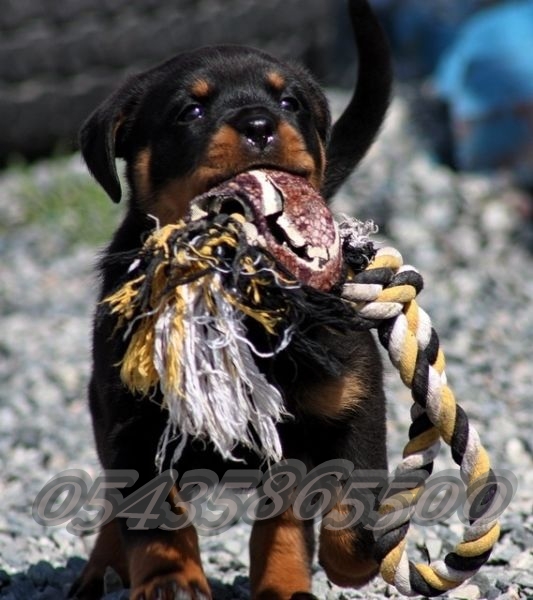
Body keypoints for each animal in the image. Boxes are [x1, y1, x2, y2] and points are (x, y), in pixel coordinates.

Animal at [70, 1, 392, 600]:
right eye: (190, 110)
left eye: (289, 102)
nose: (260, 125)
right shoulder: (132, 421)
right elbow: (153, 515)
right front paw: (170, 579)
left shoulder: (353, 402)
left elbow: (334, 510)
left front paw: (337, 567)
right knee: (114, 503)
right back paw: (100, 569)